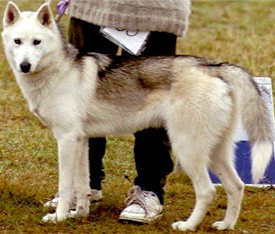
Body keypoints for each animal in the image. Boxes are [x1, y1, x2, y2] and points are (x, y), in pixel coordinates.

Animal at [1, 1, 274, 231]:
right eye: (17, 41)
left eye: (37, 42)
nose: (25, 66)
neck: (58, 70)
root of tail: (213, 67)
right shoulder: (81, 141)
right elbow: (82, 186)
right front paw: (77, 215)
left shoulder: (66, 140)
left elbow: (66, 185)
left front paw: (58, 217)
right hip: (216, 151)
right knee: (236, 186)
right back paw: (226, 225)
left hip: (188, 150)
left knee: (207, 191)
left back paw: (187, 226)